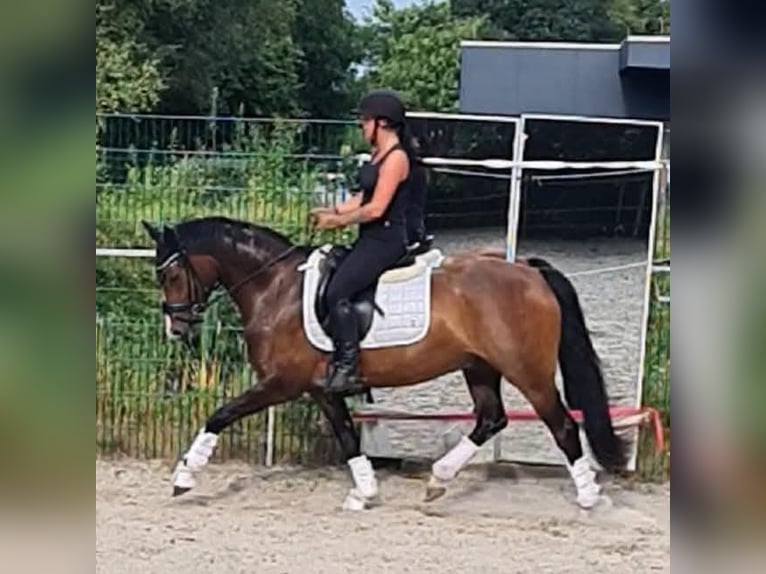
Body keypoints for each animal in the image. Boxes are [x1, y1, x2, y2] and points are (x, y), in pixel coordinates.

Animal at [141, 217, 628, 512]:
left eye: (171, 274)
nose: (176, 329)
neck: (275, 288)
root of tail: (528, 270)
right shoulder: (321, 388)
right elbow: (347, 437)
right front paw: (365, 492)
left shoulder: (282, 382)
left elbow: (219, 414)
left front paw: (184, 476)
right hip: (479, 366)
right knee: (492, 419)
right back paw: (438, 480)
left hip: (528, 372)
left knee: (562, 424)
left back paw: (589, 498)